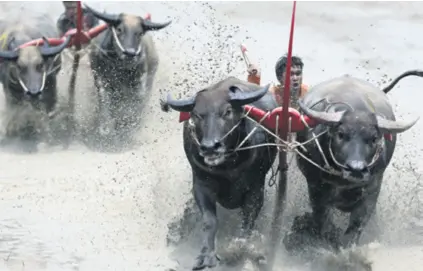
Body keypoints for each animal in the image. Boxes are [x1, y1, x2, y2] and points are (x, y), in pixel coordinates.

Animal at [0, 15, 70, 152]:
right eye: (20, 67)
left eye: (40, 65)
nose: (34, 93)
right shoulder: (11, 90)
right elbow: (16, 111)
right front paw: (17, 131)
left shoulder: (50, 86)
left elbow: (47, 110)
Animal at [83, 4, 171, 138]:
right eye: (119, 29)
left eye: (140, 33)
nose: (130, 53)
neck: (118, 66)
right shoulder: (99, 77)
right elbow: (105, 99)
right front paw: (105, 127)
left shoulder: (139, 81)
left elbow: (135, 102)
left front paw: (129, 124)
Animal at [164, 77, 280, 271]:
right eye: (197, 114)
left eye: (227, 111)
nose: (210, 147)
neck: (227, 167)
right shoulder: (201, 184)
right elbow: (209, 221)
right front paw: (205, 256)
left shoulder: (256, 188)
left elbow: (248, 221)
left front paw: (239, 250)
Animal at [284, 71, 422, 253]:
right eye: (341, 134)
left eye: (374, 138)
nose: (356, 169)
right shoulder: (316, 186)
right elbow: (322, 220)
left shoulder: (372, 188)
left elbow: (356, 226)